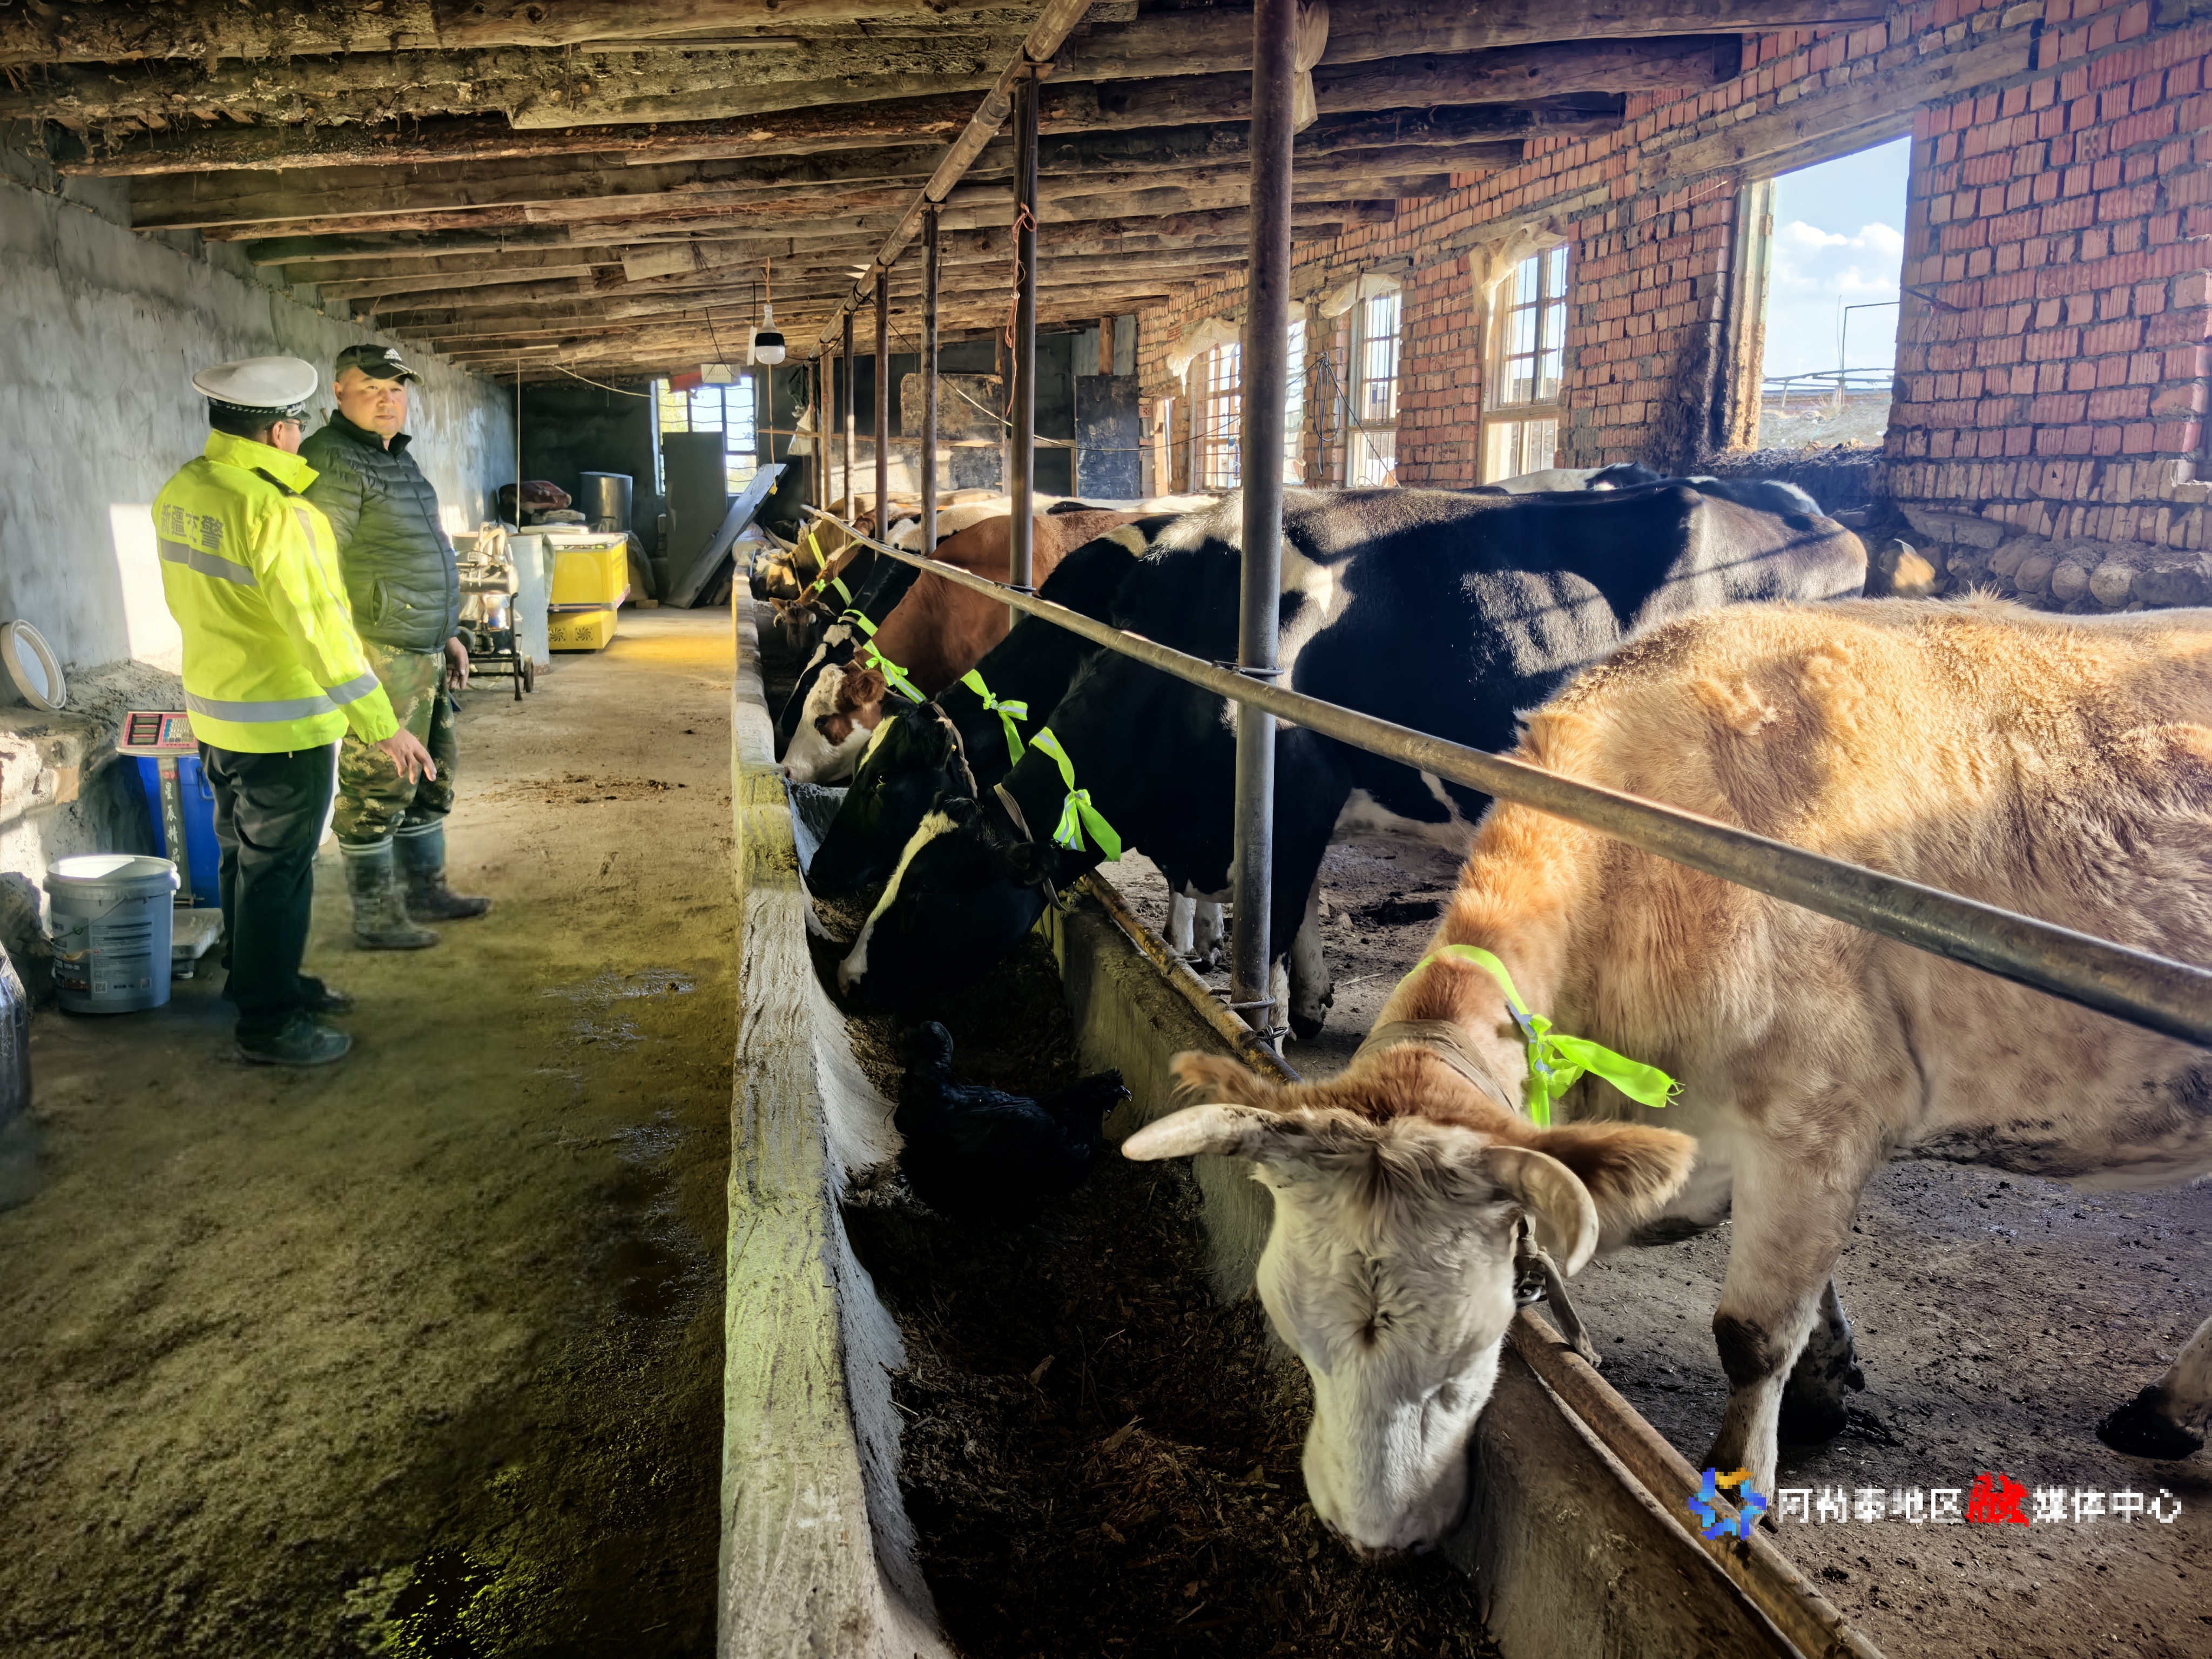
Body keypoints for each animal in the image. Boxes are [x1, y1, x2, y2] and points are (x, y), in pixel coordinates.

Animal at [831, 483, 1867, 1032]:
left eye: (929, 893)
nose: (844, 975)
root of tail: (1815, 514)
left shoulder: (1287, 794)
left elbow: (1276, 926)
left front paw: (1268, 1029)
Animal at [1117, 596, 2212, 1557]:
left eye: (1476, 1354)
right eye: (1290, 1334)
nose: (1370, 1539)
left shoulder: (1820, 1117)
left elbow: (1751, 1334)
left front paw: (1738, 1493)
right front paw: (1827, 1386)